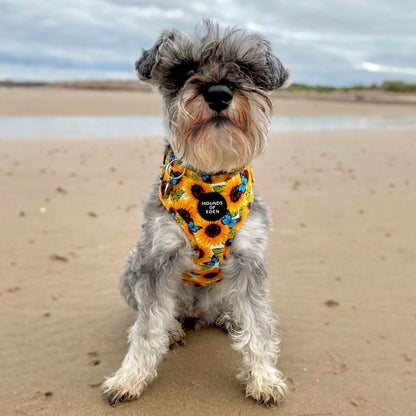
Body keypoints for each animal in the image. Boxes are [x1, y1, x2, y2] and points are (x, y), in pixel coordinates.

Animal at [102, 19, 290, 406]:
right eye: (187, 69)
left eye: (244, 68)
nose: (218, 93)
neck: (211, 182)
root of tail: (195, 314)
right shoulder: (156, 260)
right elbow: (146, 330)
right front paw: (129, 377)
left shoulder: (249, 262)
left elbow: (259, 325)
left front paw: (263, 378)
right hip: (131, 269)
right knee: (159, 315)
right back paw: (173, 329)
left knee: (232, 309)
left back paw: (230, 318)